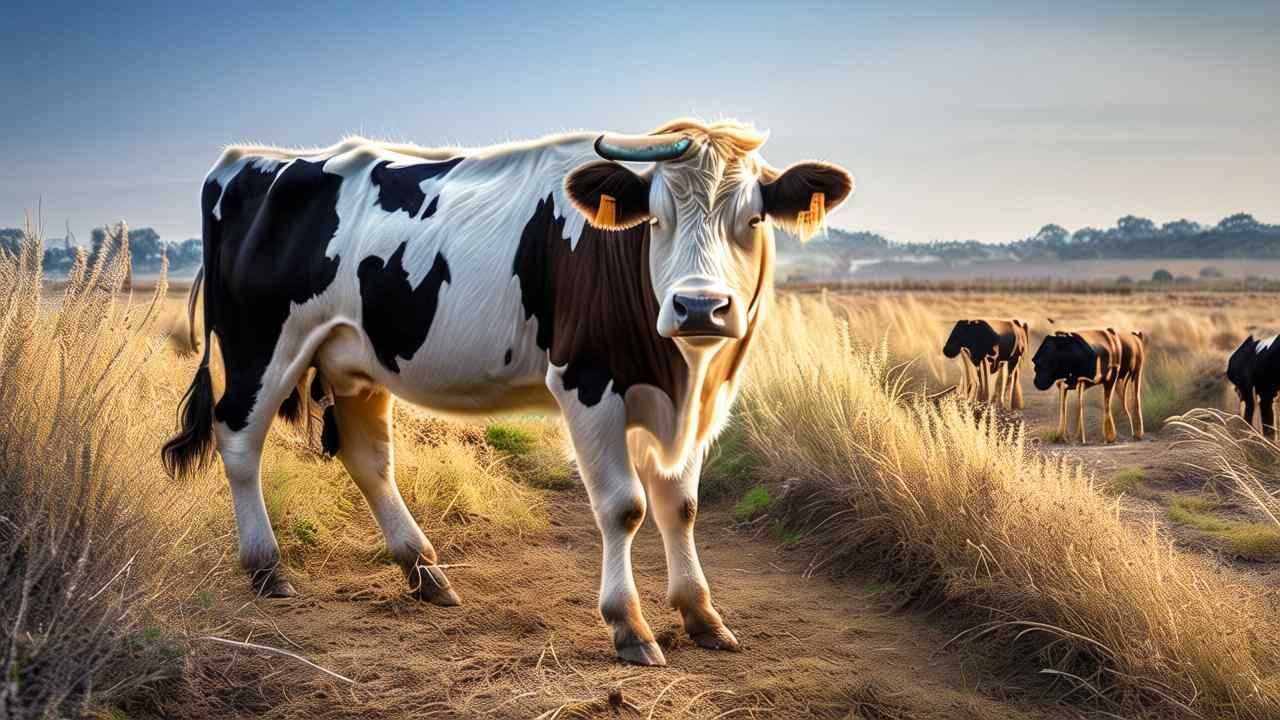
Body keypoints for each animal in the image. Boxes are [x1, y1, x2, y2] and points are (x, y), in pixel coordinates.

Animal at [162, 116, 860, 661]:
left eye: (753, 219)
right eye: (654, 220)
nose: (697, 307)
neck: (680, 374)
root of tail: (249, 159)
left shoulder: (705, 395)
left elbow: (679, 505)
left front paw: (701, 615)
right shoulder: (587, 382)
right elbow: (624, 507)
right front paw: (629, 626)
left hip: (355, 360)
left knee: (367, 459)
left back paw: (424, 571)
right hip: (259, 345)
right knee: (238, 439)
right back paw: (267, 567)